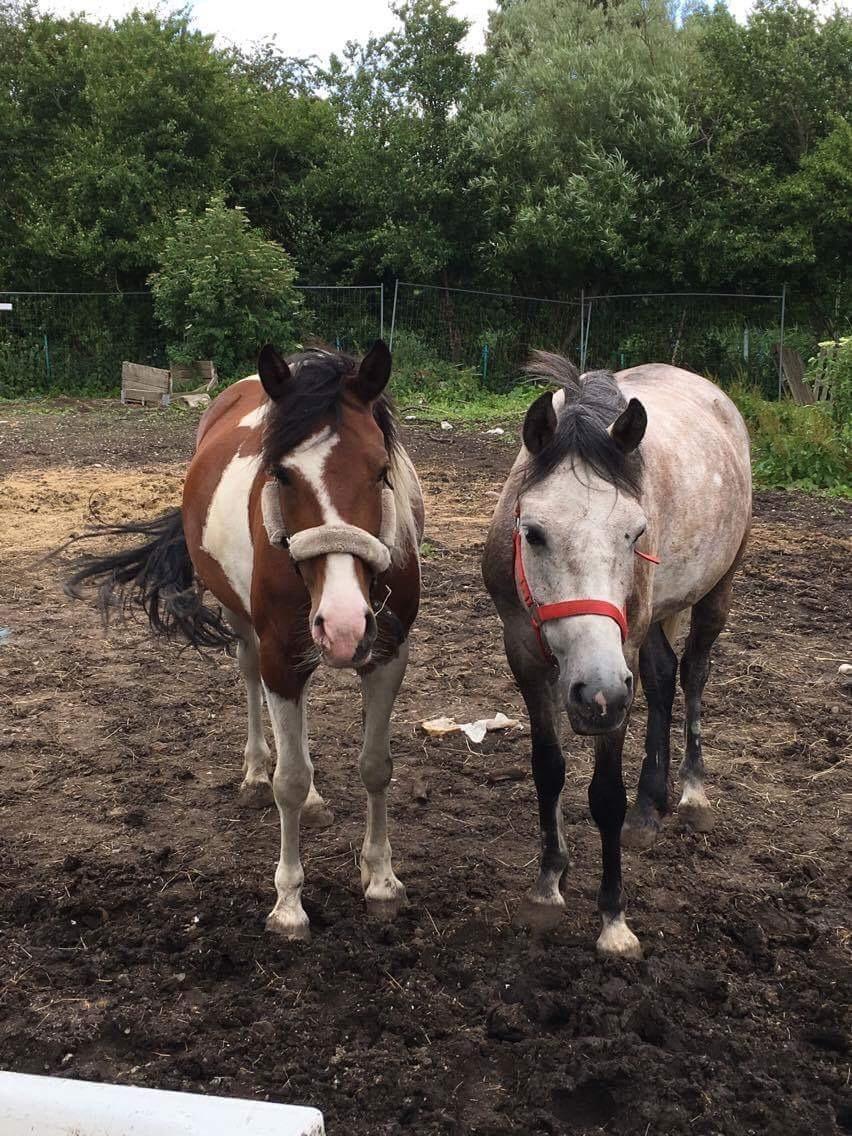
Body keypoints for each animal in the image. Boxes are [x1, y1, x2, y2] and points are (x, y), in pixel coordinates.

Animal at [69, 338, 424, 940]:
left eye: (381, 471)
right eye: (281, 475)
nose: (343, 624)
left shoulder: (386, 657)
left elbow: (376, 766)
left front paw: (381, 881)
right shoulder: (283, 658)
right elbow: (290, 780)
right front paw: (288, 904)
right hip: (245, 627)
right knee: (251, 680)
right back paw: (257, 770)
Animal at [483, 354, 749, 958]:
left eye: (635, 532)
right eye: (533, 533)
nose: (596, 693)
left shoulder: (616, 667)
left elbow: (605, 794)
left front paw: (613, 919)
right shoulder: (525, 654)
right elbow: (548, 769)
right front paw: (549, 882)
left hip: (715, 590)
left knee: (693, 675)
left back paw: (691, 793)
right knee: (661, 678)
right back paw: (649, 808)